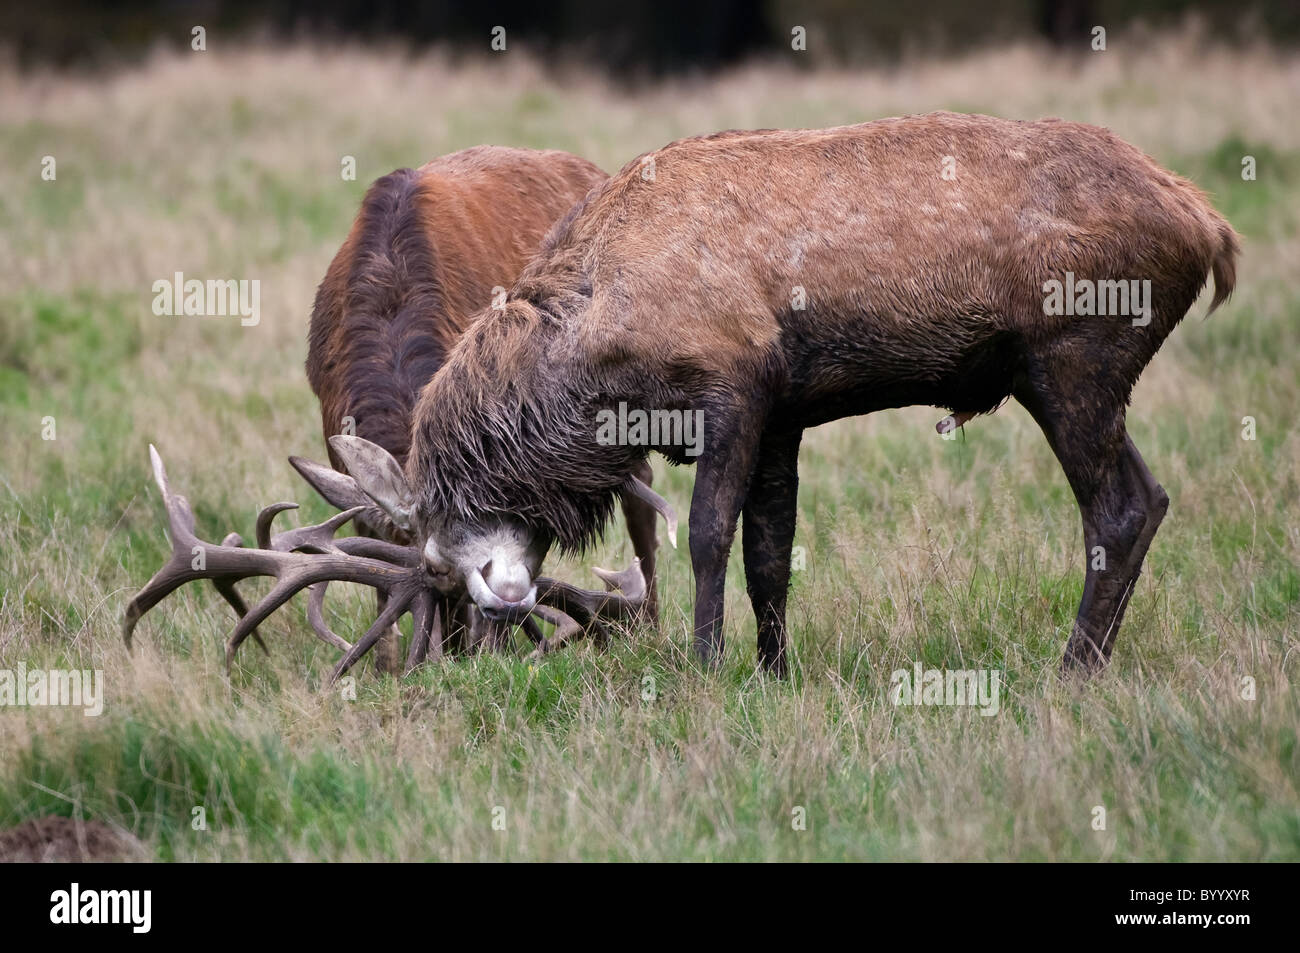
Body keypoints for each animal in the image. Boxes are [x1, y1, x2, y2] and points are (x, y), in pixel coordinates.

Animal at [332, 111, 1237, 670]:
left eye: (443, 538)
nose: (495, 610)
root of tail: (1210, 231)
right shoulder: (784, 416)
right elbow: (771, 552)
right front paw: (772, 669)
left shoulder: (733, 388)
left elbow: (706, 535)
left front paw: (704, 665)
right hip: (1080, 380)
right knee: (1152, 496)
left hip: (1071, 359)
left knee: (1117, 509)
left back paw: (1072, 667)